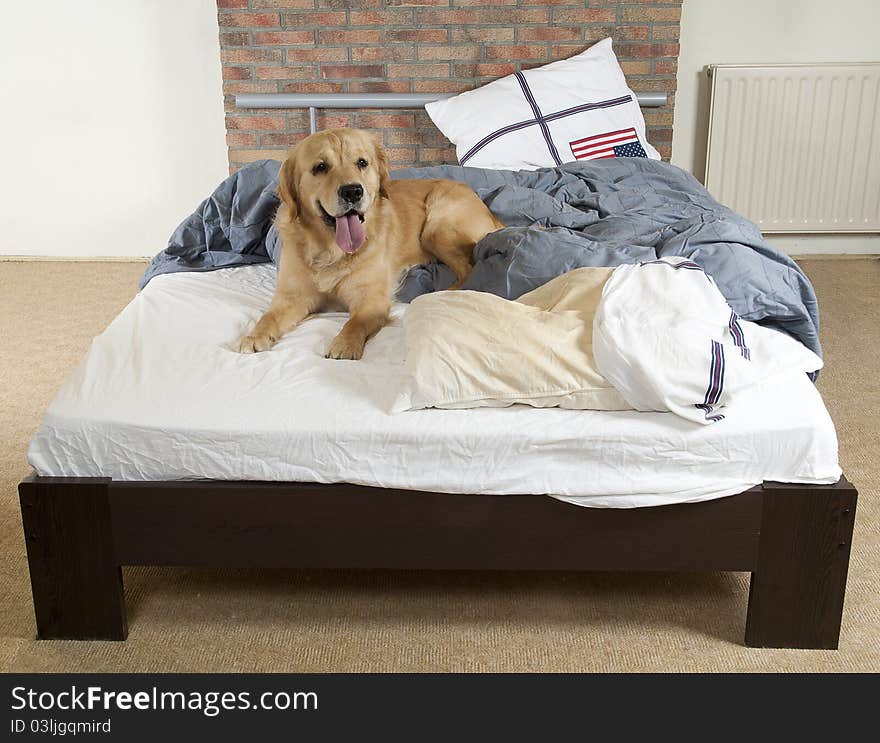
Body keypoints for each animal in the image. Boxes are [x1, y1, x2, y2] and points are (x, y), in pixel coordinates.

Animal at [235, 128, 502, 360]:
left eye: (362, 163)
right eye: (320, 167)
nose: (352, 191)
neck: (331, 250)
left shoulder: (371, 299)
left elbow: (355, 322)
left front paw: (344, 345)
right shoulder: (293, 297)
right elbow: (268, 316)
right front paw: (254, 336)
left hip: (436, 227)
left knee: (468, 270)